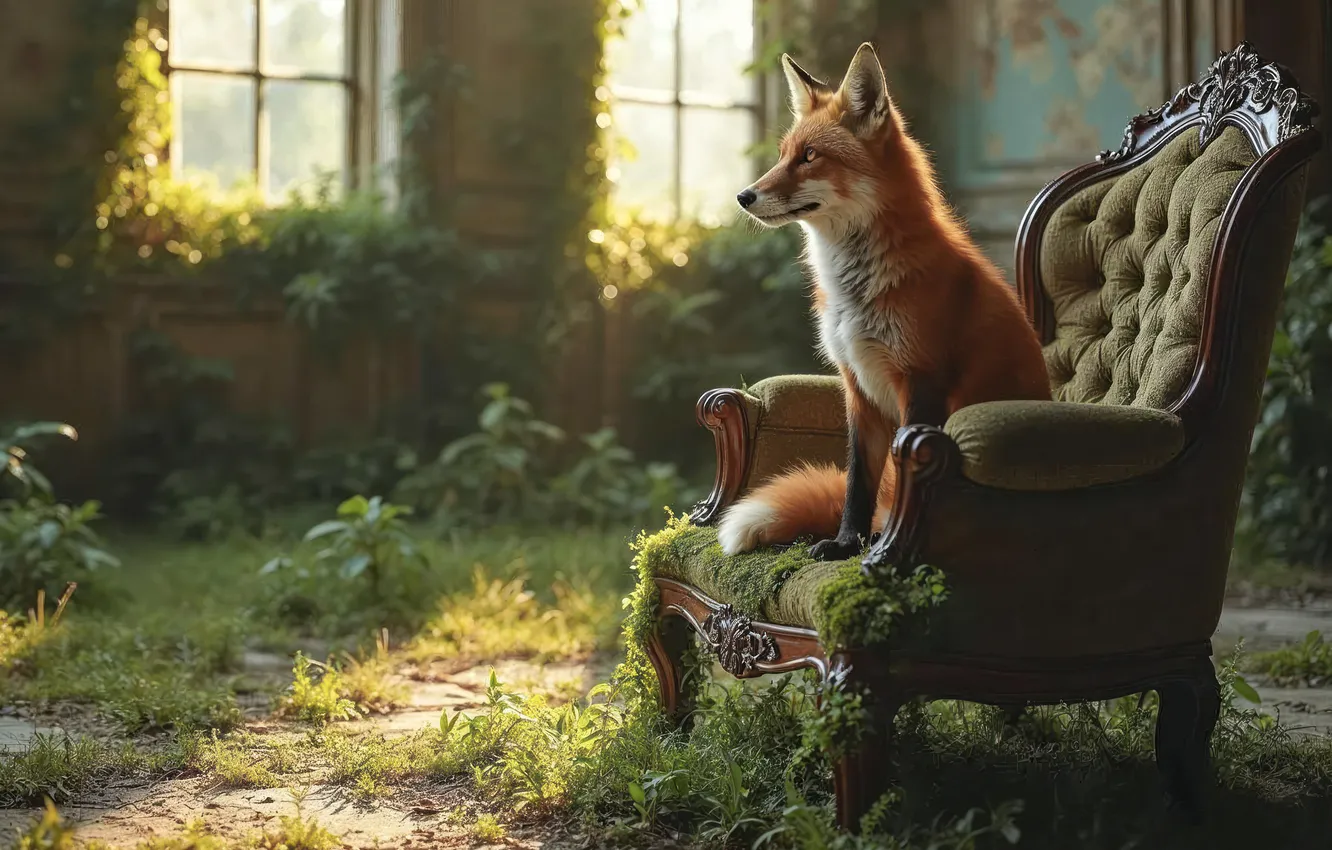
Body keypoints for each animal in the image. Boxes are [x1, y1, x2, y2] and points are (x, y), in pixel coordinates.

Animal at [717, 42, 1051, 560]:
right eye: (784, 155)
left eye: (809, 157)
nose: (743, 196)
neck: (855, 290)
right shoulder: (858, 387)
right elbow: (858, 484)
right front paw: (846, 543)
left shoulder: (921, 382)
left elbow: (893, 475)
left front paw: (879, 546)